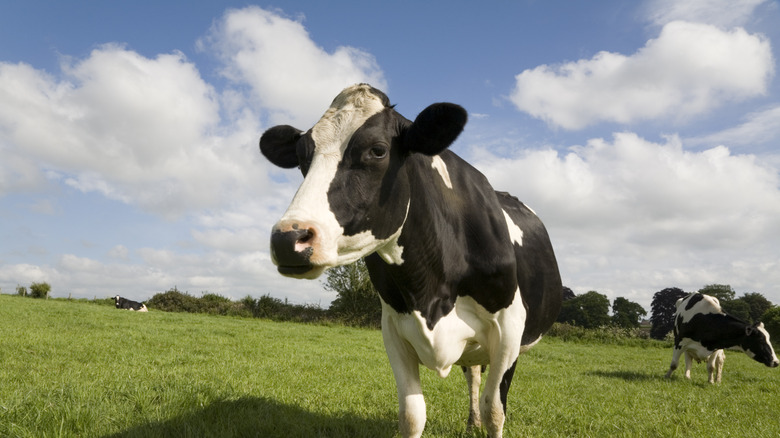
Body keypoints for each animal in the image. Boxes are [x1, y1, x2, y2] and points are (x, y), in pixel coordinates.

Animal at [259, 84, 562, 437]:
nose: (287, 239)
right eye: (301, 157)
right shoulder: (393, 328)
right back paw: (470, 420)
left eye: (378, 150)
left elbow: (495, 412)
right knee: (473, 373)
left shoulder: (509, 328)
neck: (430, 293)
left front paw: (487, 418)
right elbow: (412, 414)